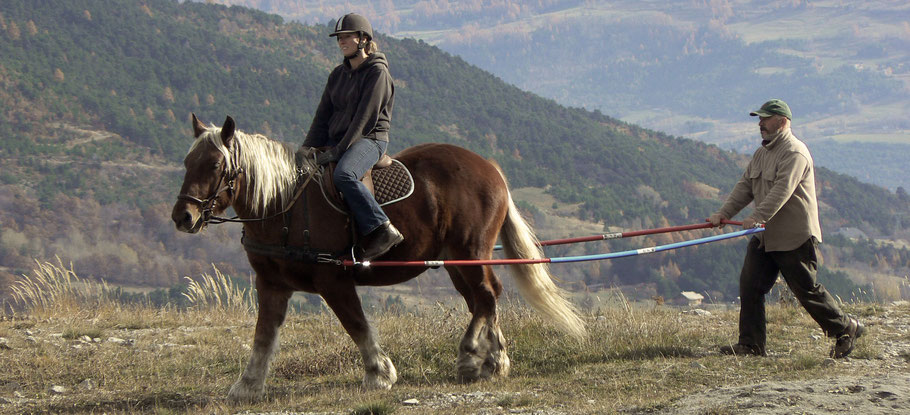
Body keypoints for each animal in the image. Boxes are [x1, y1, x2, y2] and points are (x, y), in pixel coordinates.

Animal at [170, 115, 584, 402]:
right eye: (187, 162)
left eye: (215, 165)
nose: (182, 217)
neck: (283, 206)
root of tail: (491, 168)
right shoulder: (271, 284)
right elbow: (263, 335)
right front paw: (248, 385)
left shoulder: (334, 280)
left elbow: (357, 325)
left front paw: (379, 373)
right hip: (455, 260)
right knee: (482, 299)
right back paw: (488, 359)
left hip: (470, 252)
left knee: (487, 295)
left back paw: (477, 357)